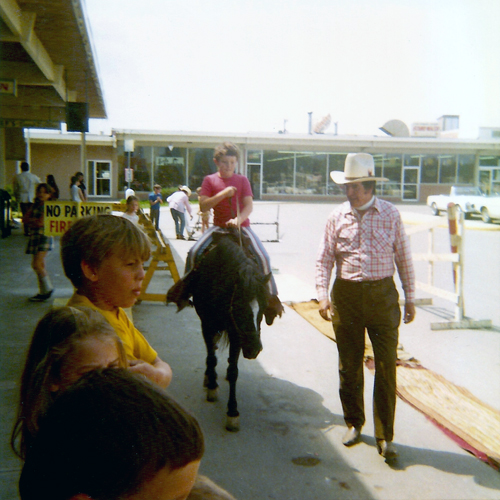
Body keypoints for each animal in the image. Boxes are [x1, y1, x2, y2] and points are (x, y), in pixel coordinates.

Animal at [167, 229, 270, 430]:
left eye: (262, 309)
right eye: (238, 307)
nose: (254, 349)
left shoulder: (236, 333)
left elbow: (233, 371)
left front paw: (232, 411)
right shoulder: (207, 325)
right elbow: (212, 357)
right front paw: (213, 387)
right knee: (211, 352)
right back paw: (209, 377)